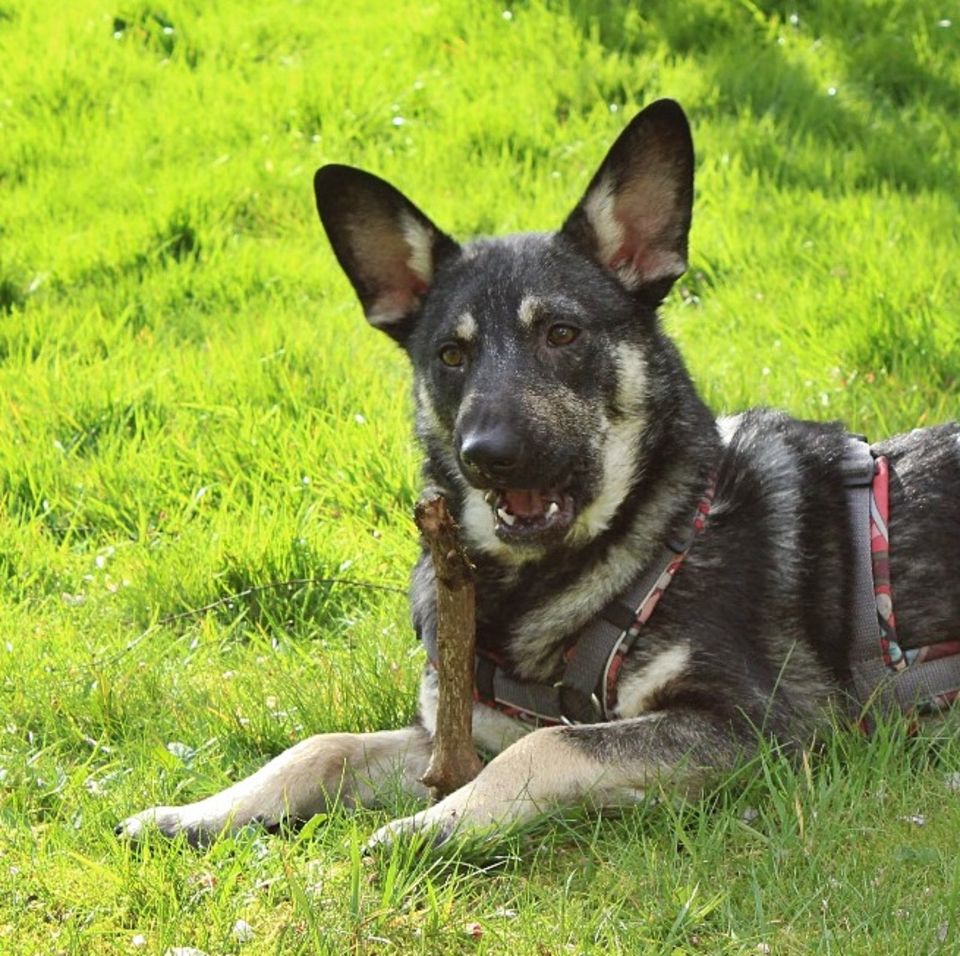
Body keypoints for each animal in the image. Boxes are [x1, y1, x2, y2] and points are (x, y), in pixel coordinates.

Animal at [120, 97, 960, 848]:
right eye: (449, 355)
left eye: (561, 334)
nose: (486, 453)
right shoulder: (459, 728)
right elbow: (322, 746)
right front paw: (197, 812)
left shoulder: (757, 727)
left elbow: (548, 745)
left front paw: (431, 827)